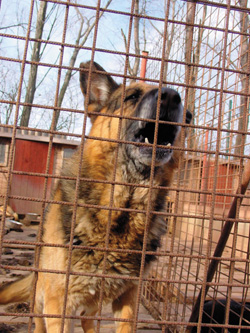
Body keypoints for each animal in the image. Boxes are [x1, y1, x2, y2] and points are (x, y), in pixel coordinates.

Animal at [0, 61, 192, 330]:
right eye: (132, 97)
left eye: (185, 112)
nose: (172, 97)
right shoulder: (58, 304)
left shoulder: (128, 299)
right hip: (42, 301)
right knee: (40, 322)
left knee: (86, 318)